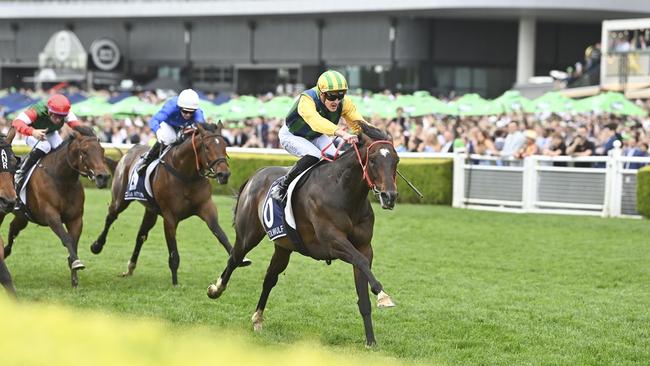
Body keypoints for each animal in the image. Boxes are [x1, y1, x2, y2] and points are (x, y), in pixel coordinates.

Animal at [1, 127, 110, 288]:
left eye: (102, 150)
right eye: (84, 152)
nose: (103, 177)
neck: (62, 180)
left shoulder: (76, 219)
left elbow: (74, 242)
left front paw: (74, 276)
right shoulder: (51, 216)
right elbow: (66, 239)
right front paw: (76, 263)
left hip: (22, 217)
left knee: (13, 229)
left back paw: (6, 252)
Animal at [87, 123, 247, 286]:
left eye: (225, 145)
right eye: (207, 147)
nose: (224, 174)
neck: (186, 175)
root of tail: (128, 153)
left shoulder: (206, 207)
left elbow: (220, 233)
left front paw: (241, 259)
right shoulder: (170, 217)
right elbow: (173, 251)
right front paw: (175, 282)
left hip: (150, 210)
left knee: (141, 235)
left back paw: (130, 267)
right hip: (120, 199)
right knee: (111, 216)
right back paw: (97, 246)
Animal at [208, 123, 400, 346]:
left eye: (396, 160)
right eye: (374, 159)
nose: (389, 196)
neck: (344, 193)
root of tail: (256, 174)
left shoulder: (364, 246)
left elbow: (363, 283)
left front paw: (371, 341)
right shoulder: (332, 242)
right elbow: (359, 261)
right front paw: (383, 294)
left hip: (283, 246)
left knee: (269, 278)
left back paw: (257, 319)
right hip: (248, 235)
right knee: (234, 259)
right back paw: (215, 290)